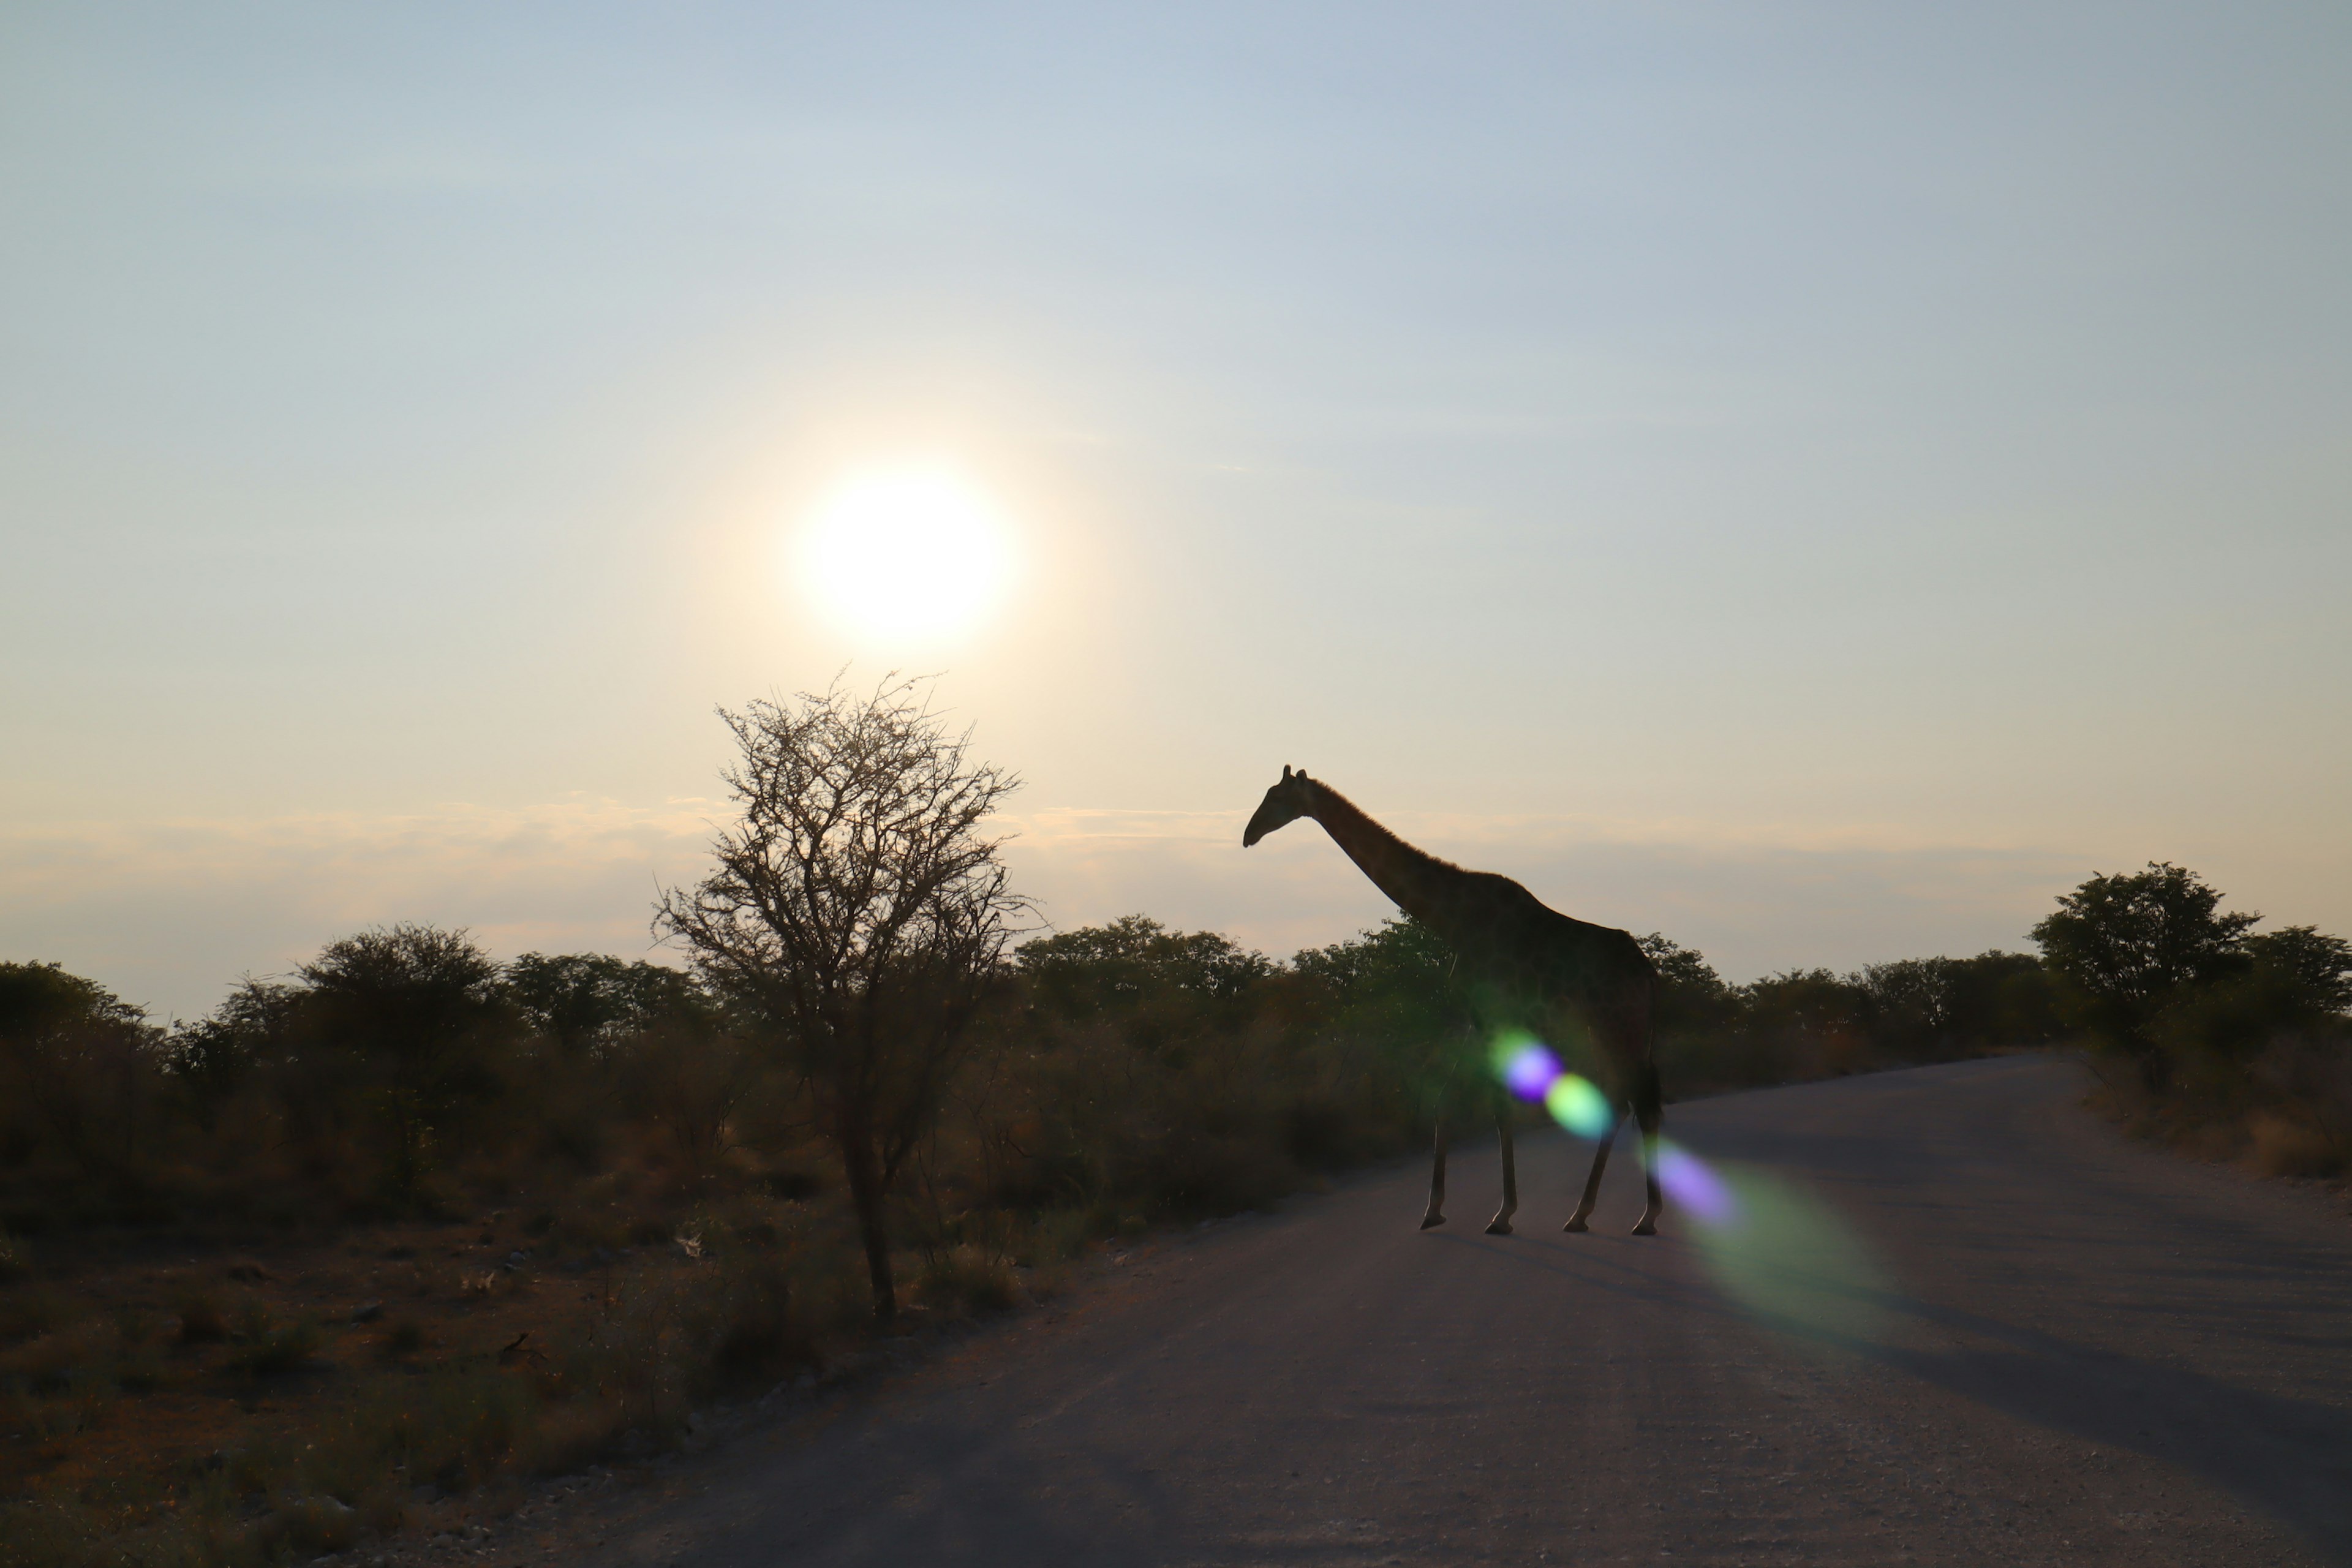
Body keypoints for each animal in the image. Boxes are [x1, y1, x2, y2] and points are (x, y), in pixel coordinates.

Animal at [1242, 766, 1665, 1232]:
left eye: (1277, 797)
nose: (1248, 834)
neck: (1451, 918)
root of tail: (1648, 973)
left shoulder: (1495, 1015)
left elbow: (1499, 1107)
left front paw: (1503, 1214)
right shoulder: (1474, 1017)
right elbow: (1445, 1098)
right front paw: (1433, 1210)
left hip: (1619, 1024)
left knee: (1641, 1102)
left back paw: (1644, 1218)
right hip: (1602, 1027)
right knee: (1623, 1100)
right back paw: (1582, 1215)